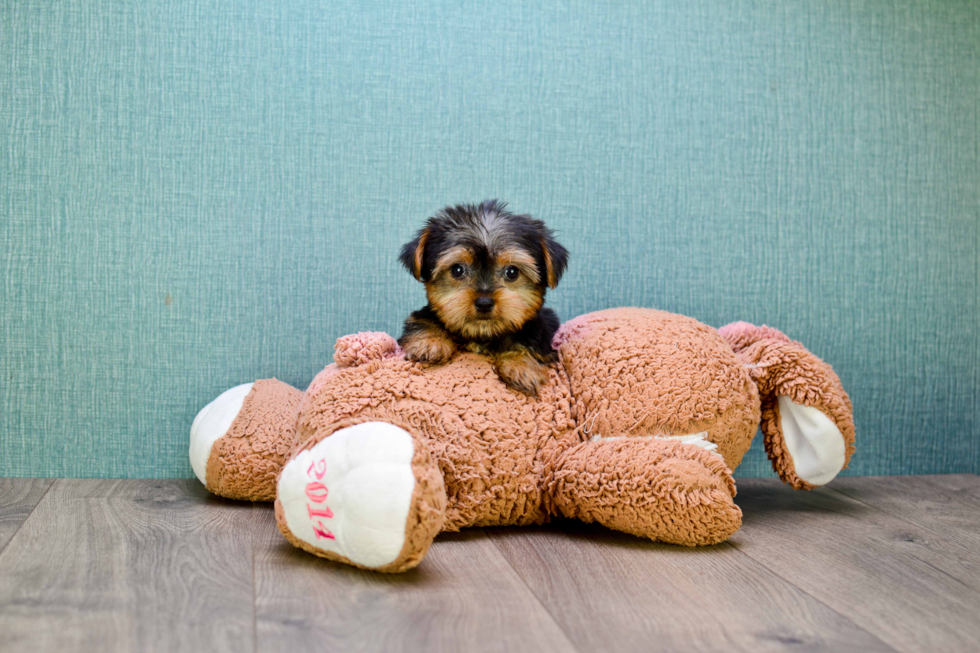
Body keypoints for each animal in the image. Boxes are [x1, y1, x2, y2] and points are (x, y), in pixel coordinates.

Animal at [396, 199, 568, 394]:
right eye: (457, 270)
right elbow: (423, 320)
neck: (483, 334)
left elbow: (528, 344)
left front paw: (521, 366)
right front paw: (430, 342)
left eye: (512, 272)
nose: (484, 303)